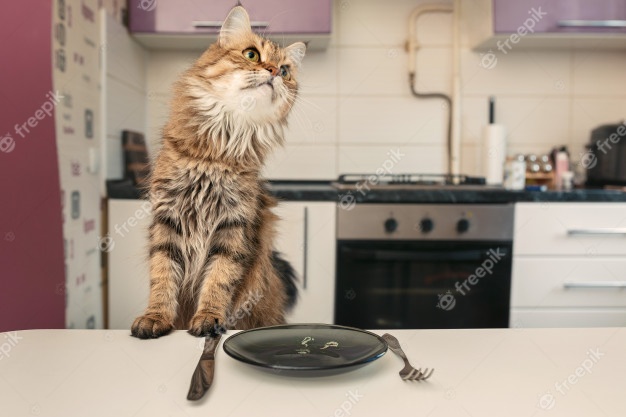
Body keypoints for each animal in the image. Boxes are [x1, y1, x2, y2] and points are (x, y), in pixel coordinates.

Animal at [132, 5, 304, 338]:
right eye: (251, 54)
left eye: (285, 71)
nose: (273, 72)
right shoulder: (167, 217)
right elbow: (162, 275)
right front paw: (156, 317)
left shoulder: (234, 224)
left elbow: (219, 279)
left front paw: (209, 319)